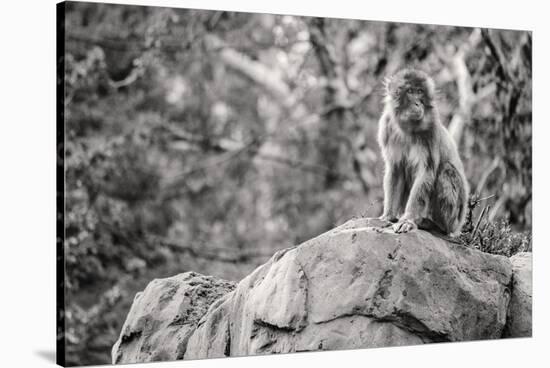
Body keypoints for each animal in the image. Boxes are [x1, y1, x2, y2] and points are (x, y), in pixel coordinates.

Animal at [380, 68, 470, 236]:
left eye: (420, 91)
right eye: (410, 91)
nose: (417, 103)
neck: (408, 128)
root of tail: (458, 226)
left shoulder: (431, 130)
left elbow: (426, 172)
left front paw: (408, 220)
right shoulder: (387, 127)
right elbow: (395, 169)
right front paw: (388, 215)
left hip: (454, 217)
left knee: (446, 170)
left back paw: (433, 224)